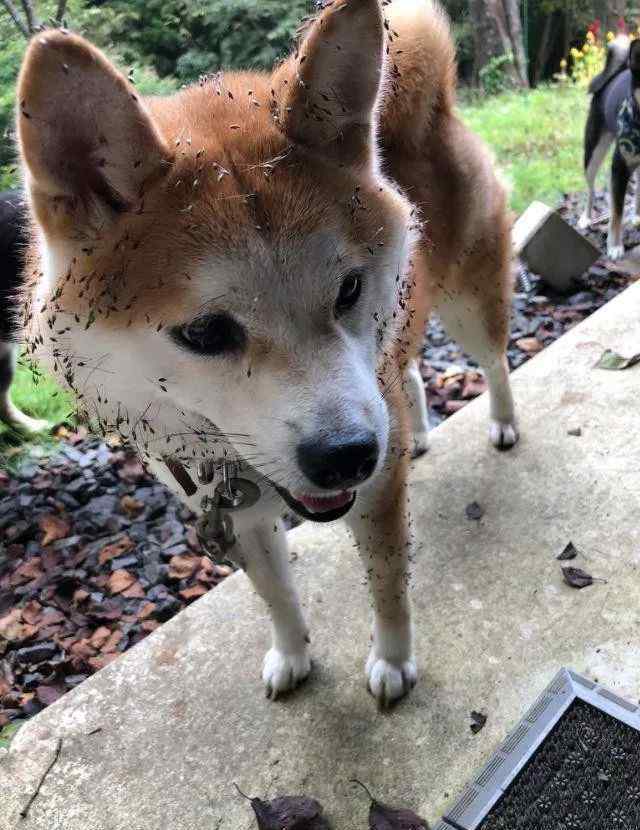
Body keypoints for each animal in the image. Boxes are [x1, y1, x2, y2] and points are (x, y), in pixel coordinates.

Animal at [13, 0, 516, 704]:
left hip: (469, 304)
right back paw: (413, 433)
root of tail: (433, 104)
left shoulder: (376, 497)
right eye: (204, 334)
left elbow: (389, 589)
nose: (350, 456)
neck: (232, 467)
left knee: (494, 361)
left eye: (347, 288)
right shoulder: (239, 516)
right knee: (408, 369)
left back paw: (500, 422)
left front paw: (392, 662)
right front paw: (293, 655)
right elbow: (276, 597)